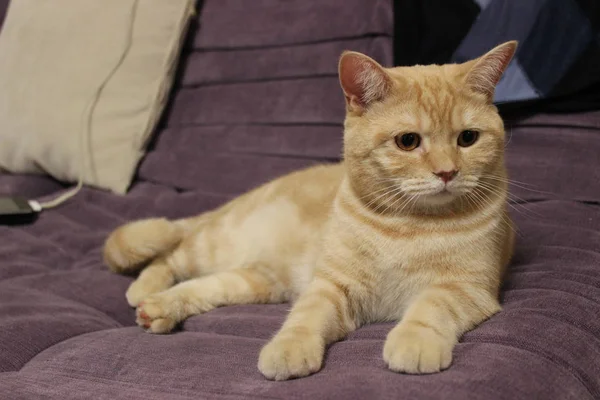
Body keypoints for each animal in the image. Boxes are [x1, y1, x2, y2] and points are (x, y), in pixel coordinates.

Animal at [103, 41, 516, 382]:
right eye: (408, 141)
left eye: (467, 138)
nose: (447, 172)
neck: (407, 226)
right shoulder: (332, 285)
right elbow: (306, 317)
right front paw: (290, 348)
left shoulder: (468, 288)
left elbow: (431, 307)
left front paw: (414, 342)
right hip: (216, 245)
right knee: (171, 255)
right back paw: (144, 291)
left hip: (256, 281)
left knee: (205, 285)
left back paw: (159, 309)